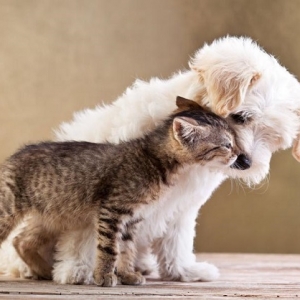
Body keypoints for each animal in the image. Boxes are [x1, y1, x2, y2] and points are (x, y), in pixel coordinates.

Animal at [1, 35, 300, 284]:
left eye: (274, 139)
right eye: (241, 117)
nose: (246, 162)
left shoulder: (182, 205)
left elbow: (176, 240)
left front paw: (182, 270)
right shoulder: (101, 193)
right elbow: (89, 235)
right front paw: (79, 270)